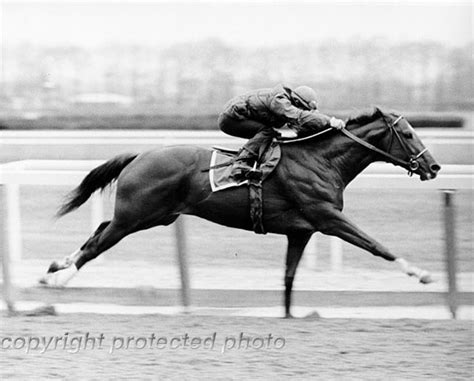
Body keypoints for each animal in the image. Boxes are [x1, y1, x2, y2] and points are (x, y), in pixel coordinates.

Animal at [40, 107, 440, 318]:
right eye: (407, 134)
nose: (433, 167)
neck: (321, 160)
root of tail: (140, 155)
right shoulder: (327, 217)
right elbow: (376, 245)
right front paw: (421, 273)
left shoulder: (301, 231)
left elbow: (288, 276)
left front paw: (289, 314)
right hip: (136, 216)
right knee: (98, 243)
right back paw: (60, 279)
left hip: (153, 215)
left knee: (99, 229)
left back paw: (56, 267)